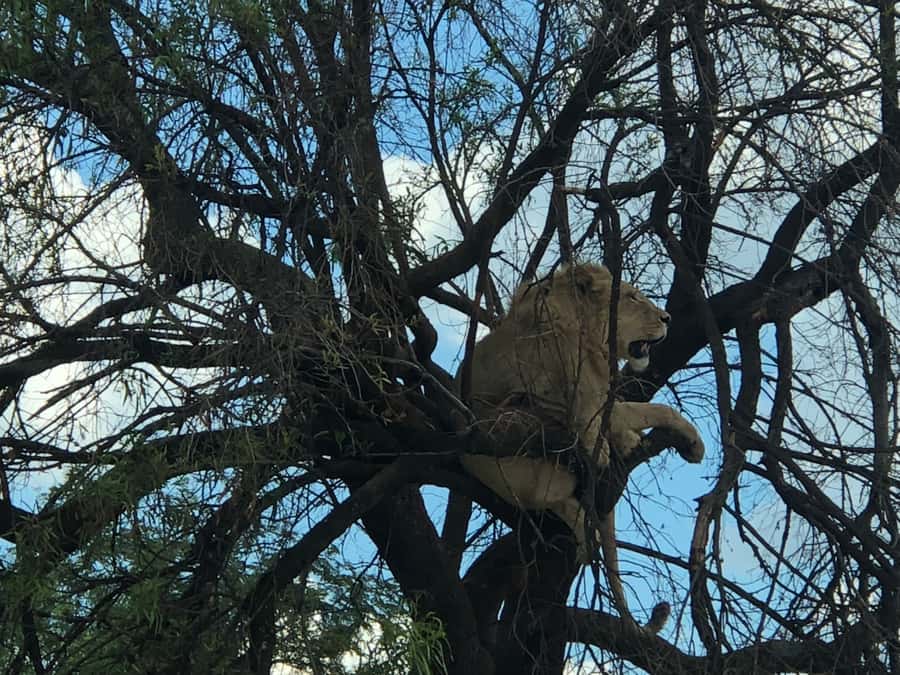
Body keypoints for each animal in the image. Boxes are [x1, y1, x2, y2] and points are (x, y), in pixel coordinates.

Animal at [461, 263, 704, 630]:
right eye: (632, 298)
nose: (667, 317)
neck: (590, 336)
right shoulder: (589, 407)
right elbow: (657, 411)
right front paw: (692, 444)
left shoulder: (601, 401)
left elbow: (644, 411)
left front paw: (637, 440)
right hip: (521, 443)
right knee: (559, 499)